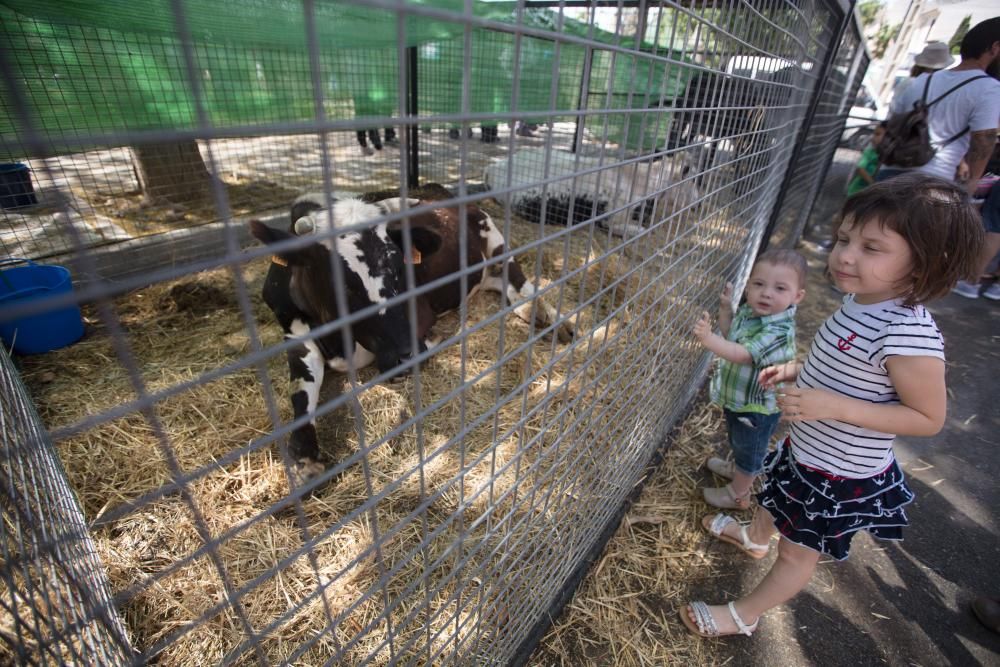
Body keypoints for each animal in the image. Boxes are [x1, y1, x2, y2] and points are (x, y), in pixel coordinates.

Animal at [252, 190, 572, 482]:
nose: (409, 350)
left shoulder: (418, 316)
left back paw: (553, 320)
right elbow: (299, 390)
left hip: (494, 236)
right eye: (342, 284)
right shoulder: (293, 333)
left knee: (518, 279)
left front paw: (433, 341)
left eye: (398, 268)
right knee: (501, 285)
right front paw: (304, 457)